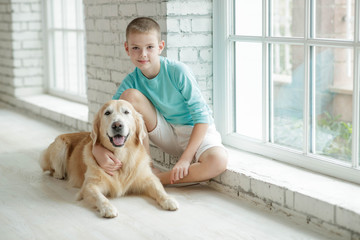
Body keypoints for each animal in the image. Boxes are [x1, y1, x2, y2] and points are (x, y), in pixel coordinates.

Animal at [39, 99, 179, 218]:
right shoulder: (89, 186)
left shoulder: (148, 178)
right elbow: (100, 197)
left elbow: (159, 189)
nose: (117, 125)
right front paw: (108, 208)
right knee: (53, 169)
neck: (121, 156)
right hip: (60, 144)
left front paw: (169, 200)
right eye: (107, 113)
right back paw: (59, 174)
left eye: (126, 112)